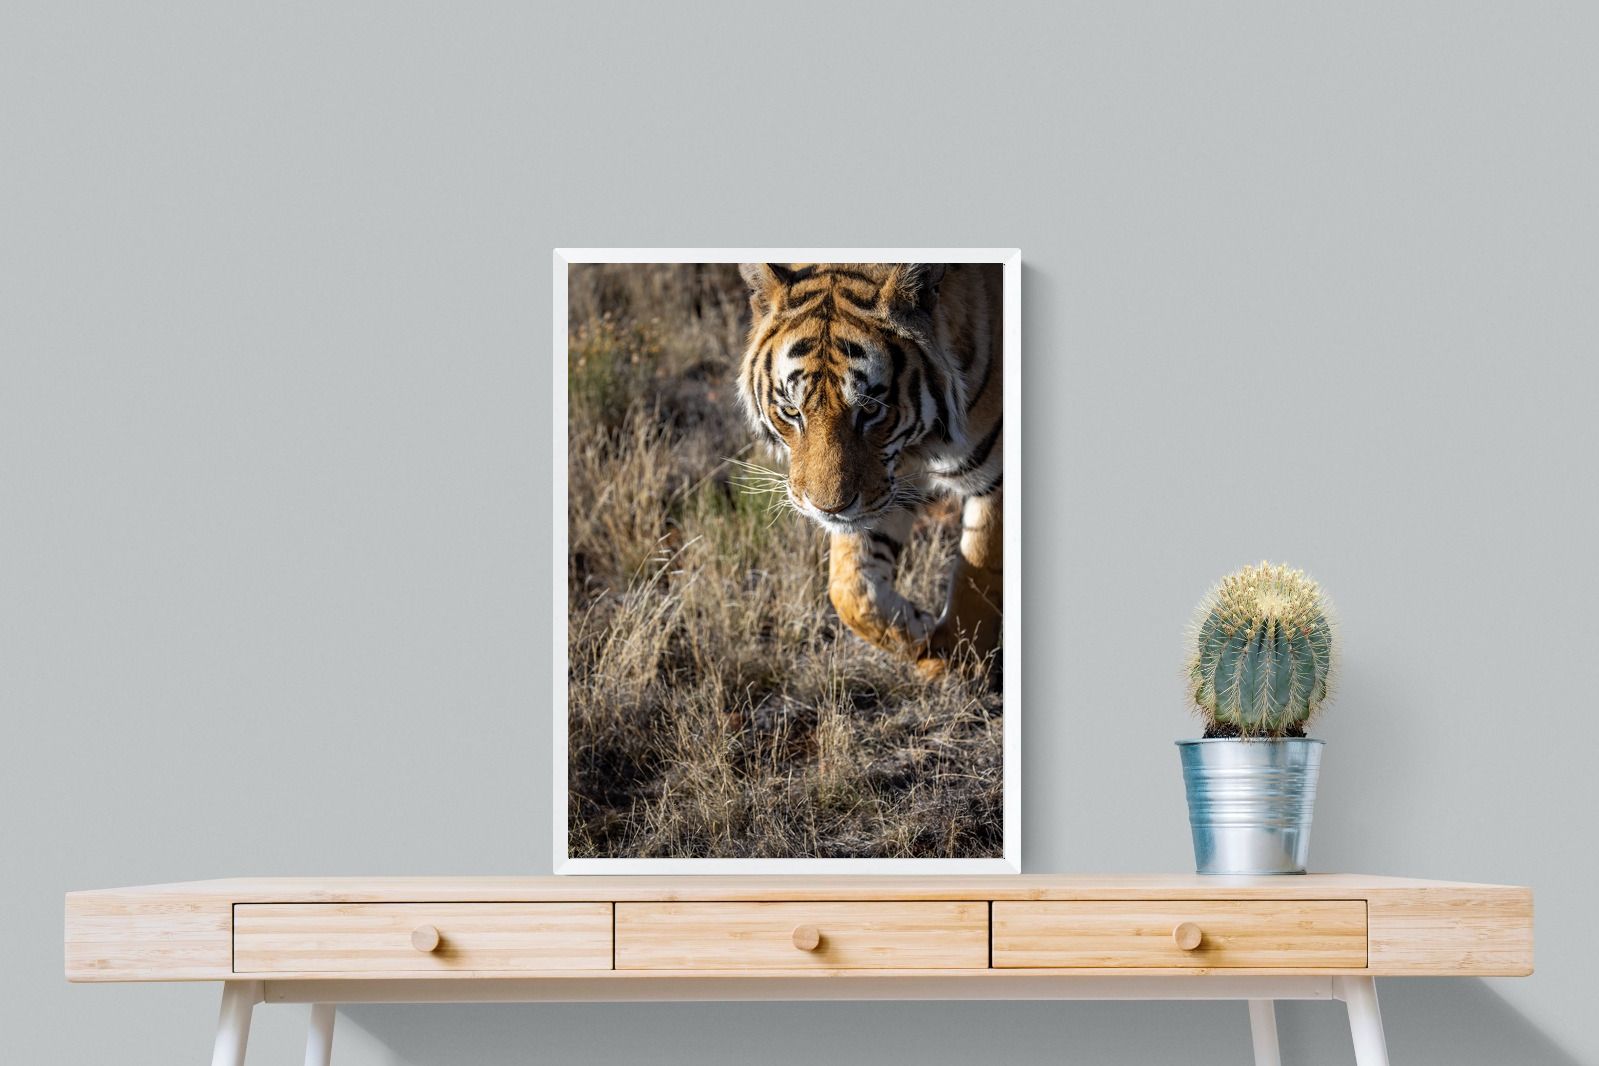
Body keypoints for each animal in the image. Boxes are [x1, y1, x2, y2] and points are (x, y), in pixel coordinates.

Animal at [736, 262, 1004, 675]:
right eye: (792, 412)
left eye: (871, 409)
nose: (828, 509)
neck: (920, 445)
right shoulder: (885, 487)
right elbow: (850, 589)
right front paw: (920, 632)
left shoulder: (995, 477)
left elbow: (978, 572)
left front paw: (957, 662)